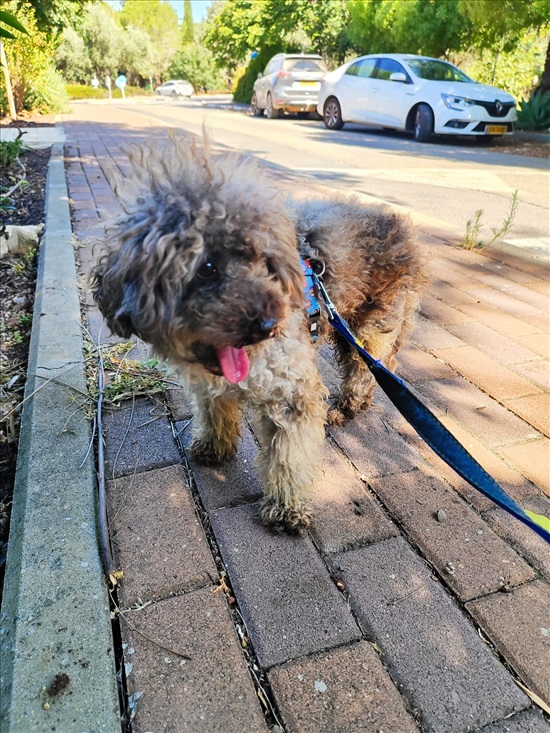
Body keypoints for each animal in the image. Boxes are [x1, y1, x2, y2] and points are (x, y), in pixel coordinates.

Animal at [90, 133, 430, 532]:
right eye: (207, 266)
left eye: (265, 263)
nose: (267, 325)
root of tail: (402, 226)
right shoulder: (212, 384)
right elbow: (214, 411)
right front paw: (214, 446)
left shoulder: (292, 393)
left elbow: (289, 455)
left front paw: (286, 507)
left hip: (368, 328)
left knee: (366, 370)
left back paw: (346, 407)